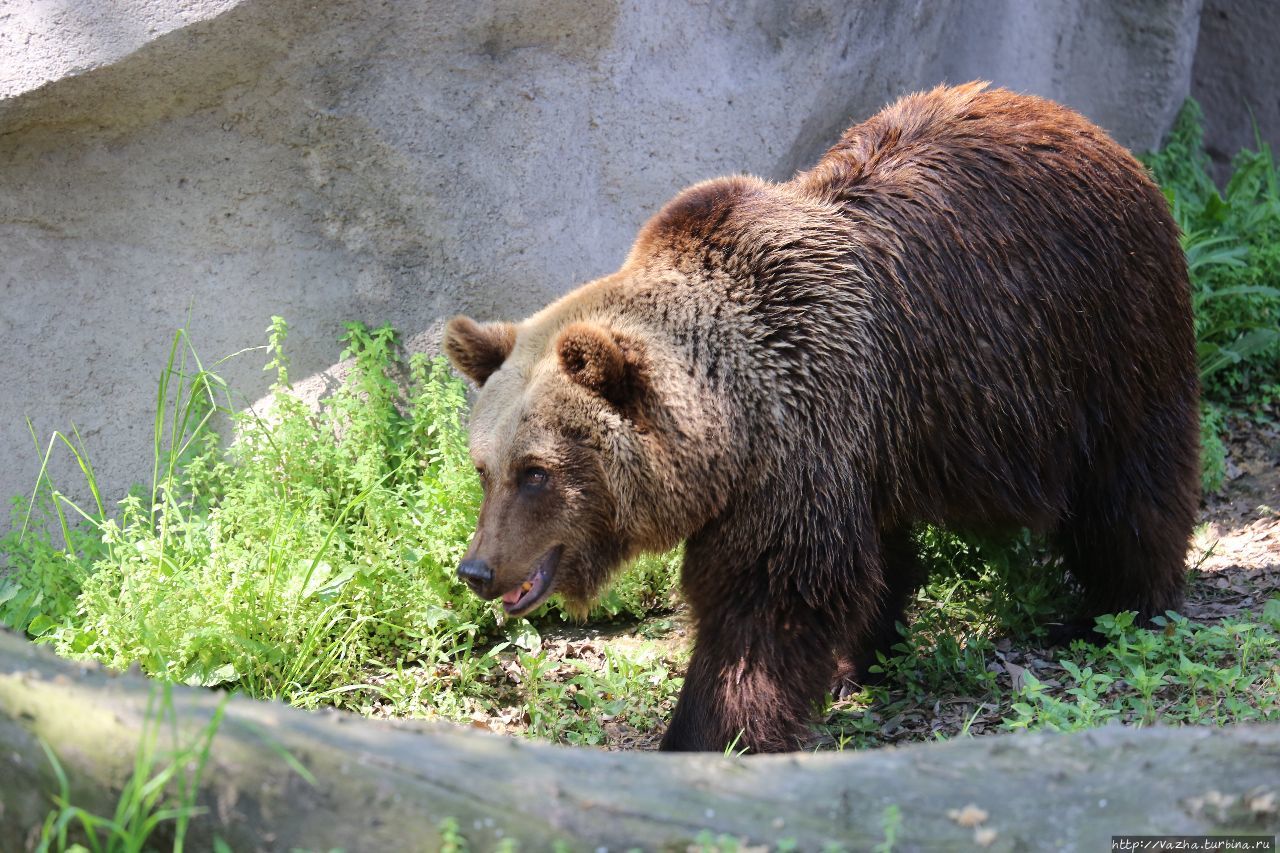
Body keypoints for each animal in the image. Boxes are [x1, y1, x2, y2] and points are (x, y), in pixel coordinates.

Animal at [442, 83, 1198, 753]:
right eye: (484, 468)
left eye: (537, 471)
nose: (476, 568)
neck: (736, 424)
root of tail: (1084, 125)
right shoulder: (842, 434)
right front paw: (842, 669)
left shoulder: (803, 434)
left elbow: (771, 599)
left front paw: (708, 733)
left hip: (1098, 332)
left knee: (1127, 484)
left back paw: (1115, 610)